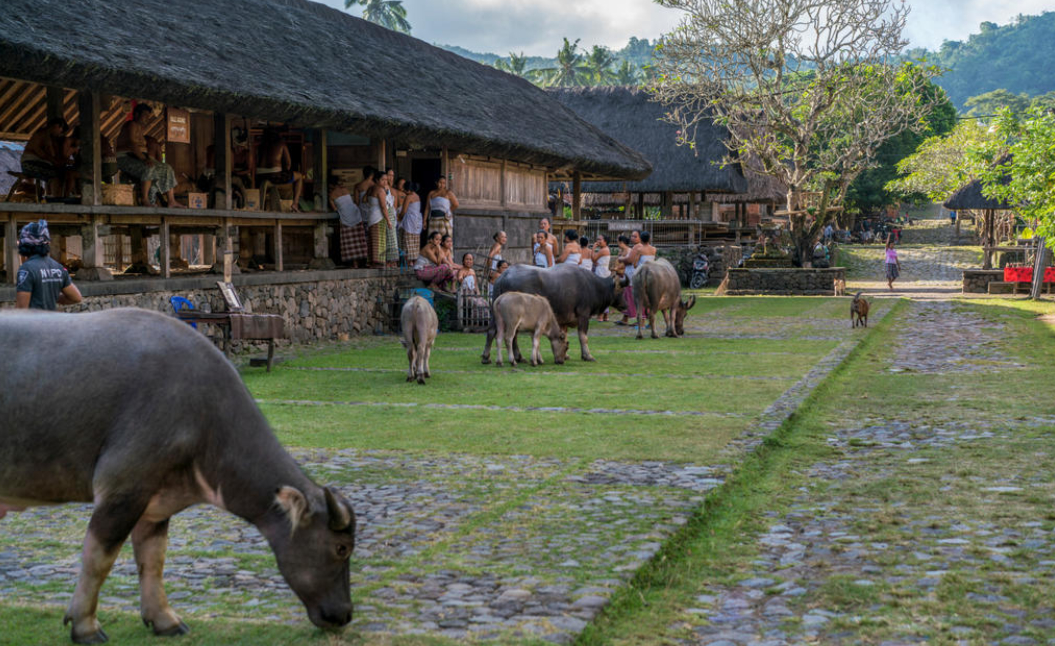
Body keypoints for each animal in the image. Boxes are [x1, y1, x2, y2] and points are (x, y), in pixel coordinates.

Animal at [0, 308, 358, 641]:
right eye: (342, 548)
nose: (344, 614)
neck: (203, 420)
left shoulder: (155, 507)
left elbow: (153, 561)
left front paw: (165, 620)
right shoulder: (122, 492)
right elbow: (97, 560)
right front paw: (85, 625)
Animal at [481, 262, 620, 363]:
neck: (594, 286)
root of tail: (503, 276)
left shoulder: (564, 319)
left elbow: (564, 334)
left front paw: (566, 356)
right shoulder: (583, 315)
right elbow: (583, 337)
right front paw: (587, 356)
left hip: (496, 313)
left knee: (492, 331)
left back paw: (487, 357)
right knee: (512, 336)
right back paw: (517, 357)